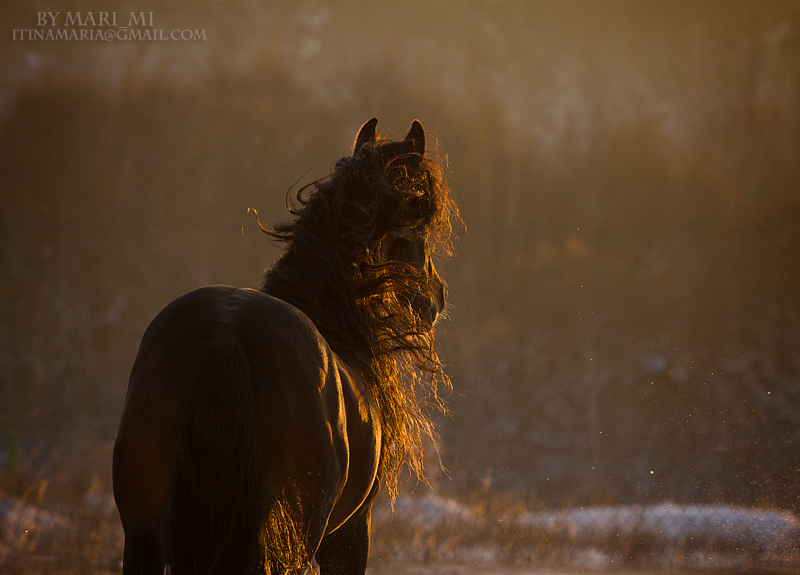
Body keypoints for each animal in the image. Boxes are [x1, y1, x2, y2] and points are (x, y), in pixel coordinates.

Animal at [113, 118, 462, 575]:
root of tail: (224, 335)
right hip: (295, 535)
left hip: (145, 535)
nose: (437, 297)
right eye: (418, 228)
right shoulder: (349, 533)